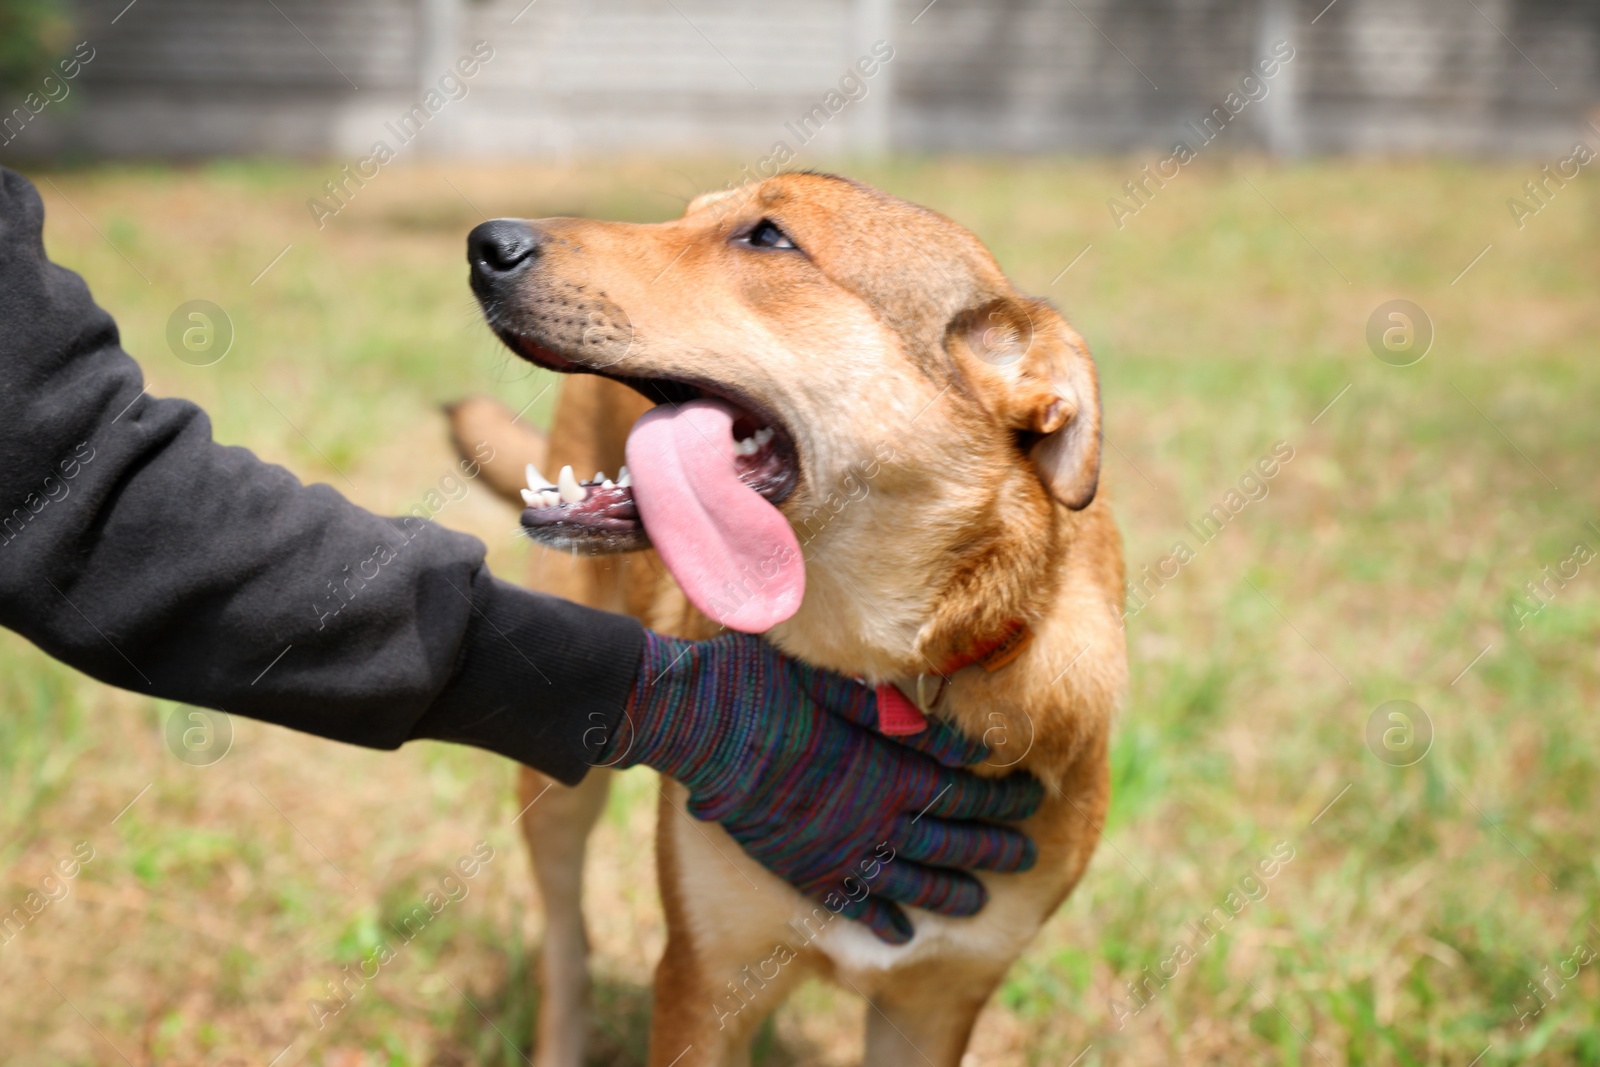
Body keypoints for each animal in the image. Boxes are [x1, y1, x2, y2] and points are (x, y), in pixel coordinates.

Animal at [451, 175, 1126, 1067]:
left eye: (769, 237)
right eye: (686, 215)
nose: (486, 243)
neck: (888, 673)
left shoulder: (937, 1001)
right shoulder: (705, 976)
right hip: (560, 787)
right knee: (566, 941)